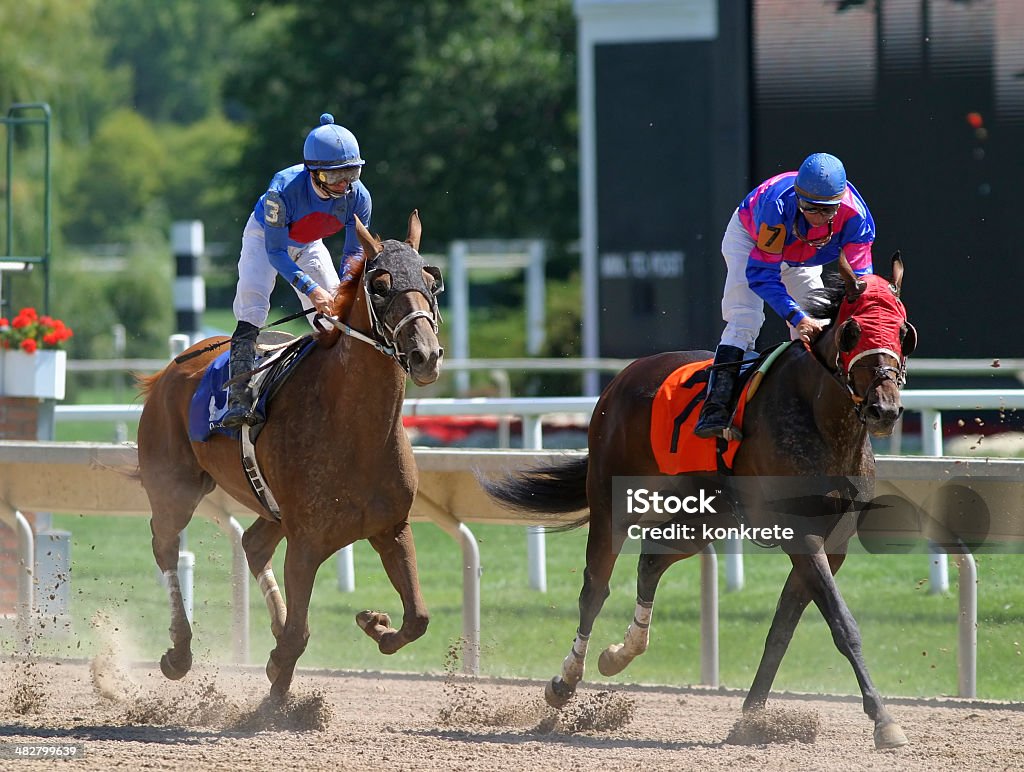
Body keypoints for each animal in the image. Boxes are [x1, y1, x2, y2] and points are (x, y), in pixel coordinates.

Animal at [135, 210, 440, 696]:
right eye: (380, 285)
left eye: (432, 282)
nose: (426, 354)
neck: (355, 430)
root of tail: (165, 373)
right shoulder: (308, 541)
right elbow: (299, 635)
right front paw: (276, 690)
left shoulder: (392, 528)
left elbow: (418, 619)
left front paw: (373, 622)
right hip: (173, 489)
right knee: (164, 546)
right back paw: (179, 651)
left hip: (270, 506)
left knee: (253, 543)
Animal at [483, 252, 917, 745]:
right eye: (851, 331)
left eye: (903, 331)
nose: (884, 409)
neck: (823, 422)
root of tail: (623, 377)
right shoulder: (802, 534)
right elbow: (843, 624)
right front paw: (884, 720)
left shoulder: (833, 541)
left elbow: (782, 627)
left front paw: (750, 718)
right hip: (613, 500)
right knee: (595, 586)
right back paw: (565, 680)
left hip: (705, 515)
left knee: (651, 559)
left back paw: (620, 652)